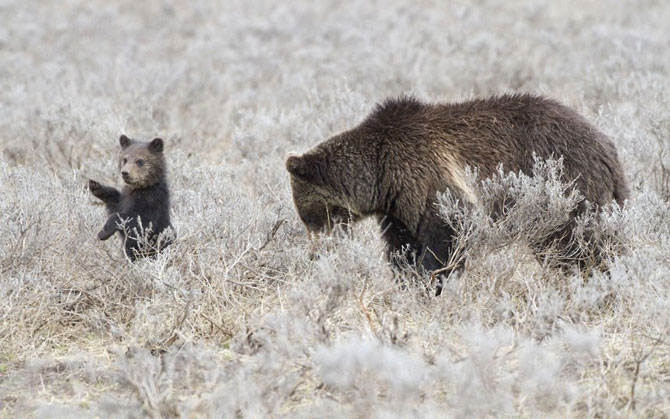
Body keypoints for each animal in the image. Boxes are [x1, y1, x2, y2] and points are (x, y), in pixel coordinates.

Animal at [288, 94, 632, 280]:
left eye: (310, 217)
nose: (315, 254)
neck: (378, 172)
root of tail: (607, 145)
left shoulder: (423, 173)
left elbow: (448, 230)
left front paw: (432, 280)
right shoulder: (398, 205)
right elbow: (402, 245)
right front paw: (407, 278)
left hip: (566, 185)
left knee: (578, 243)